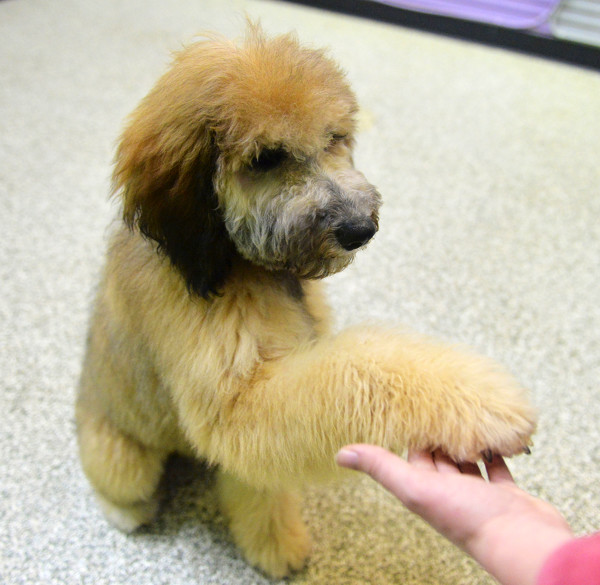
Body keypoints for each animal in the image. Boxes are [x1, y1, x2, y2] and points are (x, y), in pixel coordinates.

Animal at [76, 24, 536, 578]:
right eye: (266, 157)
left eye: (334, 137)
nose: (360, 229)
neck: (237, 261)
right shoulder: (238, 398)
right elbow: (355, 369)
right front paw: (482, 403)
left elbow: (257, 482)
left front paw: (275, 544)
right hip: (120, 453)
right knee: (120, 485)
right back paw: (129, 512)